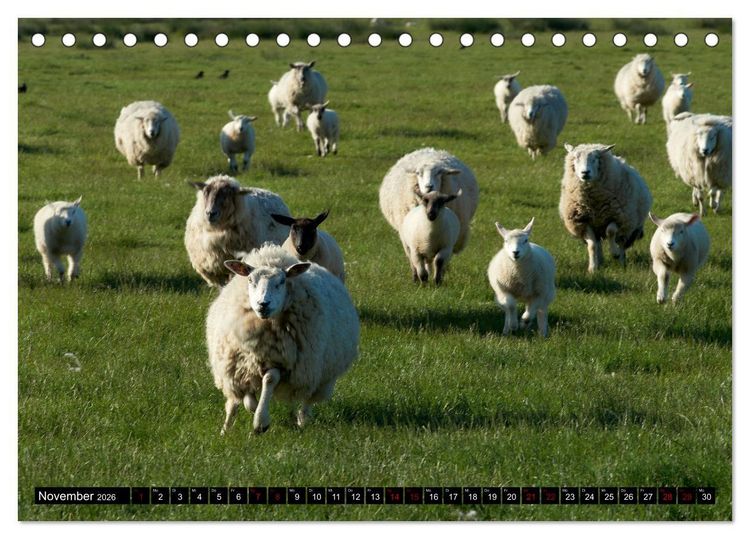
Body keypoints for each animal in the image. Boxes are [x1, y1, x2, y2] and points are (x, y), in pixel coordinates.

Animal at [206, 243, 359, 434]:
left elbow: (270, 379)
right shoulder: (241, 364)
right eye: (250, 280)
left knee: (308, 399)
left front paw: (261, 421)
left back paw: (302, 420)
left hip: (318, 374)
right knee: (233, 402)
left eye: (281, 282)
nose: (263, 304)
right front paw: (252, 407)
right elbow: (246, 395)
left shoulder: (283, 361)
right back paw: (225, 430)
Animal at [559, 143, 653, 273]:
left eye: (596, 158)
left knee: (621, 243)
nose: (585, 172)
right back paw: (600, 262)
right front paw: (592, 269)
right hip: (598, 228)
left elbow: (610, 231)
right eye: (576, 158)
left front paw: (614, 253)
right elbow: (592, 245)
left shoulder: (618, 217)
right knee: (598, 244)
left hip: (628, 226)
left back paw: (621, 262)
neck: (594, 203)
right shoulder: (583, 221)